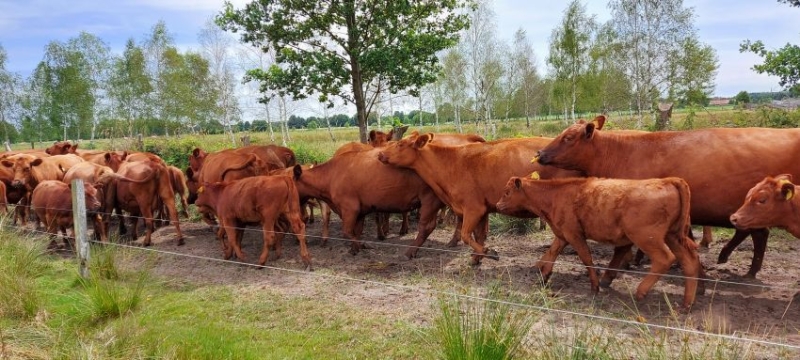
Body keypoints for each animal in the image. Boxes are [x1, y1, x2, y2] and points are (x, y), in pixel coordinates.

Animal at [378, 132, 580, 264]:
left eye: (400, 144)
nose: (380, 154)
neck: (451, 162)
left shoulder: (473, 208)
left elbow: (467, 235)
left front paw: (488, 252)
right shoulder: (483, 209)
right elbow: (479, 235)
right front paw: (477, 258)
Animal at [496, 176, 704, 308]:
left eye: (507, 192)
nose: (497, 205)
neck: (556, 194)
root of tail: (668, 180)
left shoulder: (574, 235)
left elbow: (586, 259)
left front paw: (594, 287)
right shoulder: (562, 235)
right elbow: (551, 253)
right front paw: (543, 277)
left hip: (647, 238)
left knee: (664, 259)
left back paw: (641, 292)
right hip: (673, 236)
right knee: (690, 262)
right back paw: (687, 303)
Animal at [536, 115, 800, 278]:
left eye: (568, 137)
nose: (540, 153)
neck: (622, 152)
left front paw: (632, 261)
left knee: (757, 234)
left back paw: (744, 269)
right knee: (756, 234)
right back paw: (740, 266)